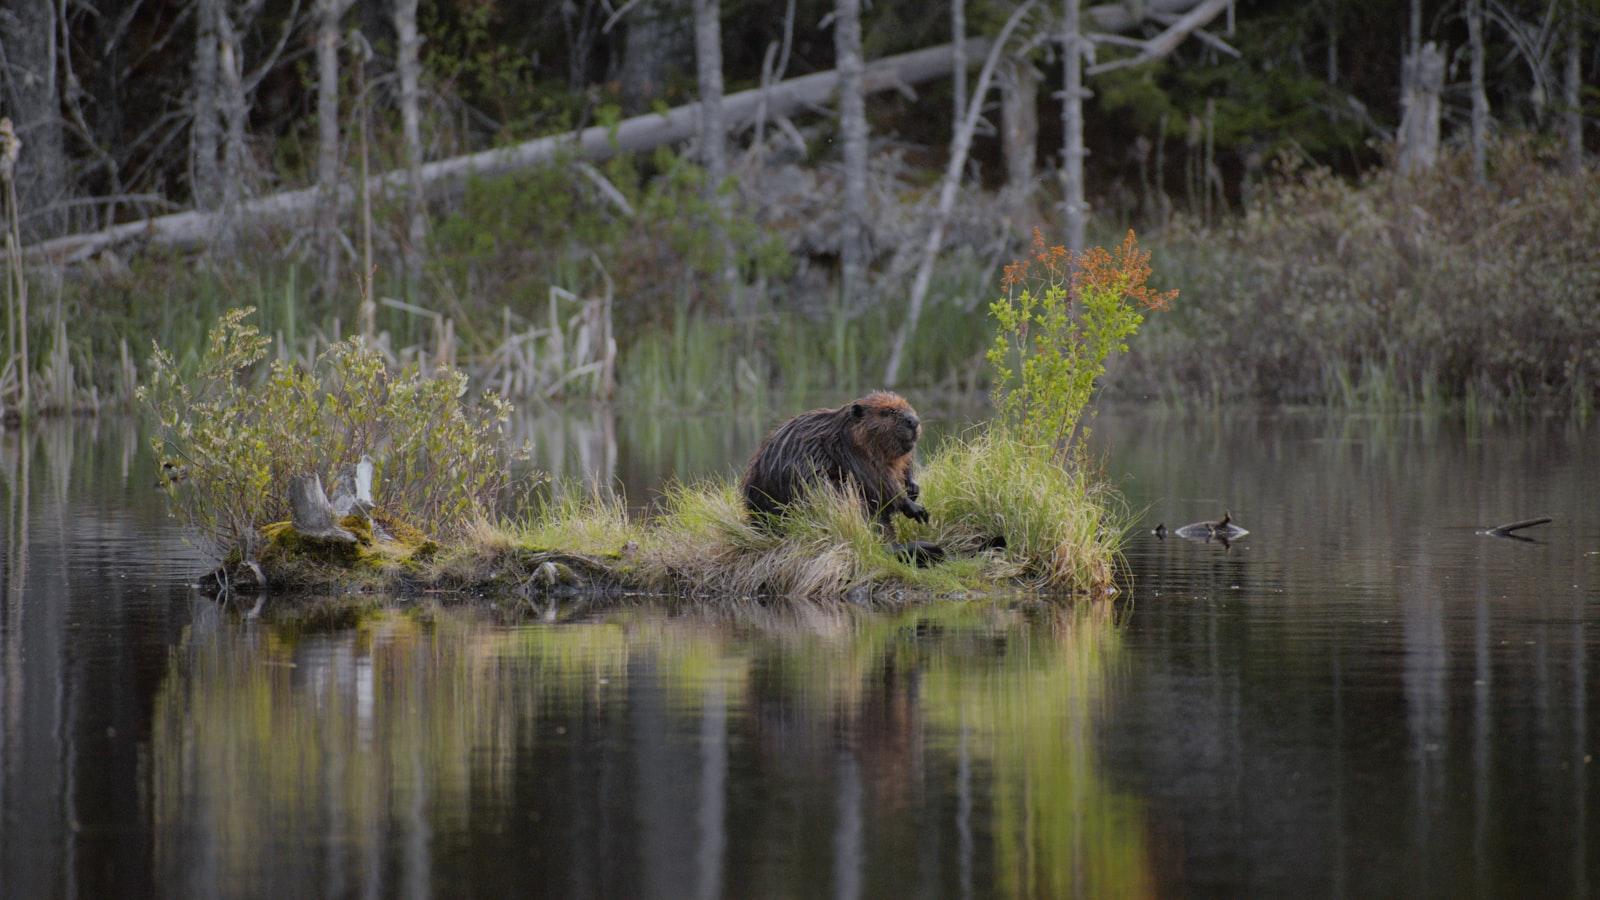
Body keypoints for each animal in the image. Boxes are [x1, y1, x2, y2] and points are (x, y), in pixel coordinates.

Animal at [742, 389, 934, 528]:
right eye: (888, 411)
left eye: (907, 405)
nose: (913, 421)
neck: (843, 433)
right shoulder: (850, 453)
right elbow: (878, 482)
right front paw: (916, 509)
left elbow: (903, 465)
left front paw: (913, 487)